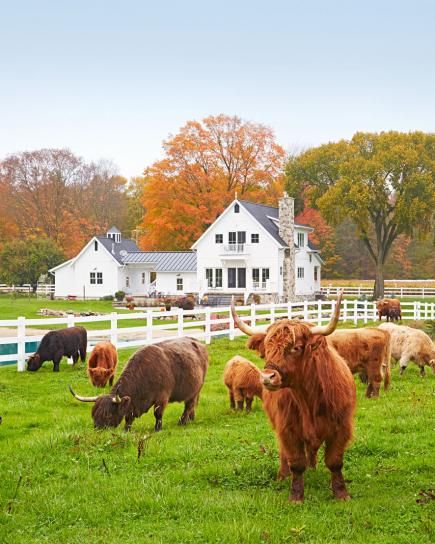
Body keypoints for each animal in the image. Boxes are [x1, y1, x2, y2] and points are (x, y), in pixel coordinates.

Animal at [69, 338, 209, 432]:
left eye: (107, 415)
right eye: (93, 414)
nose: (98, 432)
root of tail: (198, 343)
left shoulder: (162, 398)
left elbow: (158, 414)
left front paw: (158, 429)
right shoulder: (133, 403)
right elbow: (128, 417)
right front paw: (126, 430)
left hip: (196, 389)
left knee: (189, 405)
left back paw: (182, 422)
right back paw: (191, 418)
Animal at [232, 294, 358, 502]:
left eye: (296, 347)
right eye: (267, 348)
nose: (267, 377)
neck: (310, 399)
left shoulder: (341, 427)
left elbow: (334, 461)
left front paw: (341, 493)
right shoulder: (288, 429)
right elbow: (296, 463)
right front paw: (296, 496)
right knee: (285, 454)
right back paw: (283, 475)